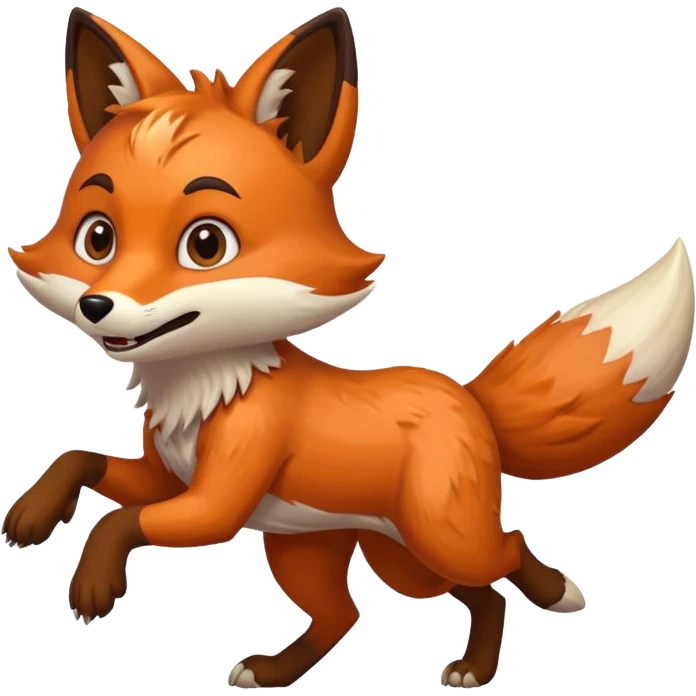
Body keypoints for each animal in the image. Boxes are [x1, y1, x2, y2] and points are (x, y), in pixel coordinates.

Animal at [3, 6, 695, 690]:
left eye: (205, 245)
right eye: (98, 238)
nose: (97, 307)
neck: (210, 386)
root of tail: (467, 396)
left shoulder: (218, 495)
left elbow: (121, 521)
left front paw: (92, 581)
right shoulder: (163, 474)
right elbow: (80, 459)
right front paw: (32, 514)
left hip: (439, 536)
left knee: (507, 550)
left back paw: (553, 595)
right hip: (361, 553)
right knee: (370, 610)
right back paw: (320, 670)